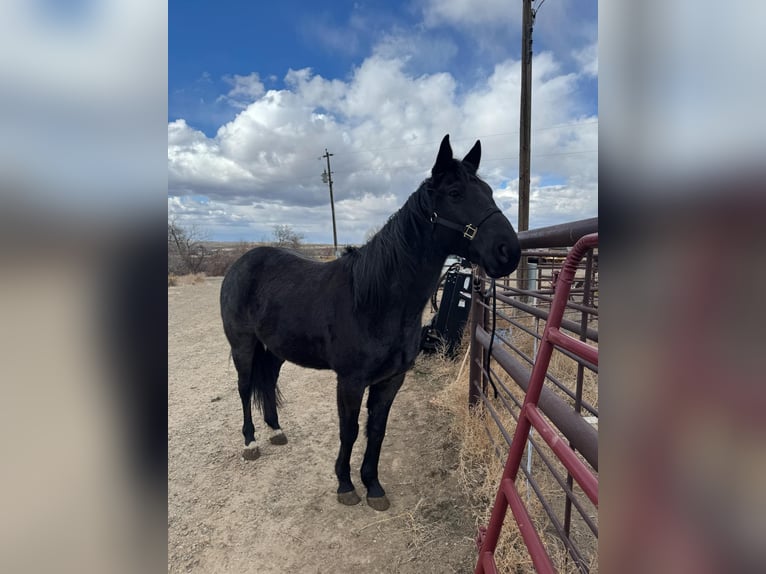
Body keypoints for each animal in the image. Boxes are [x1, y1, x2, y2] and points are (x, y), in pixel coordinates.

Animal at [220, 135, 520, 512]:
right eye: (455, 193)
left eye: (490, 191)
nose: (509, 251)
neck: (375, 301)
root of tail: (240, 262)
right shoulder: (350, 381)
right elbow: (348, 430)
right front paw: (345, 485)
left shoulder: (391, 380)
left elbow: (376, 430)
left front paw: (373, 486)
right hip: (242, 344)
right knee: (245, 387)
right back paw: (250, 443)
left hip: (275, 349)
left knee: (269, 380)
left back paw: (276, 431)